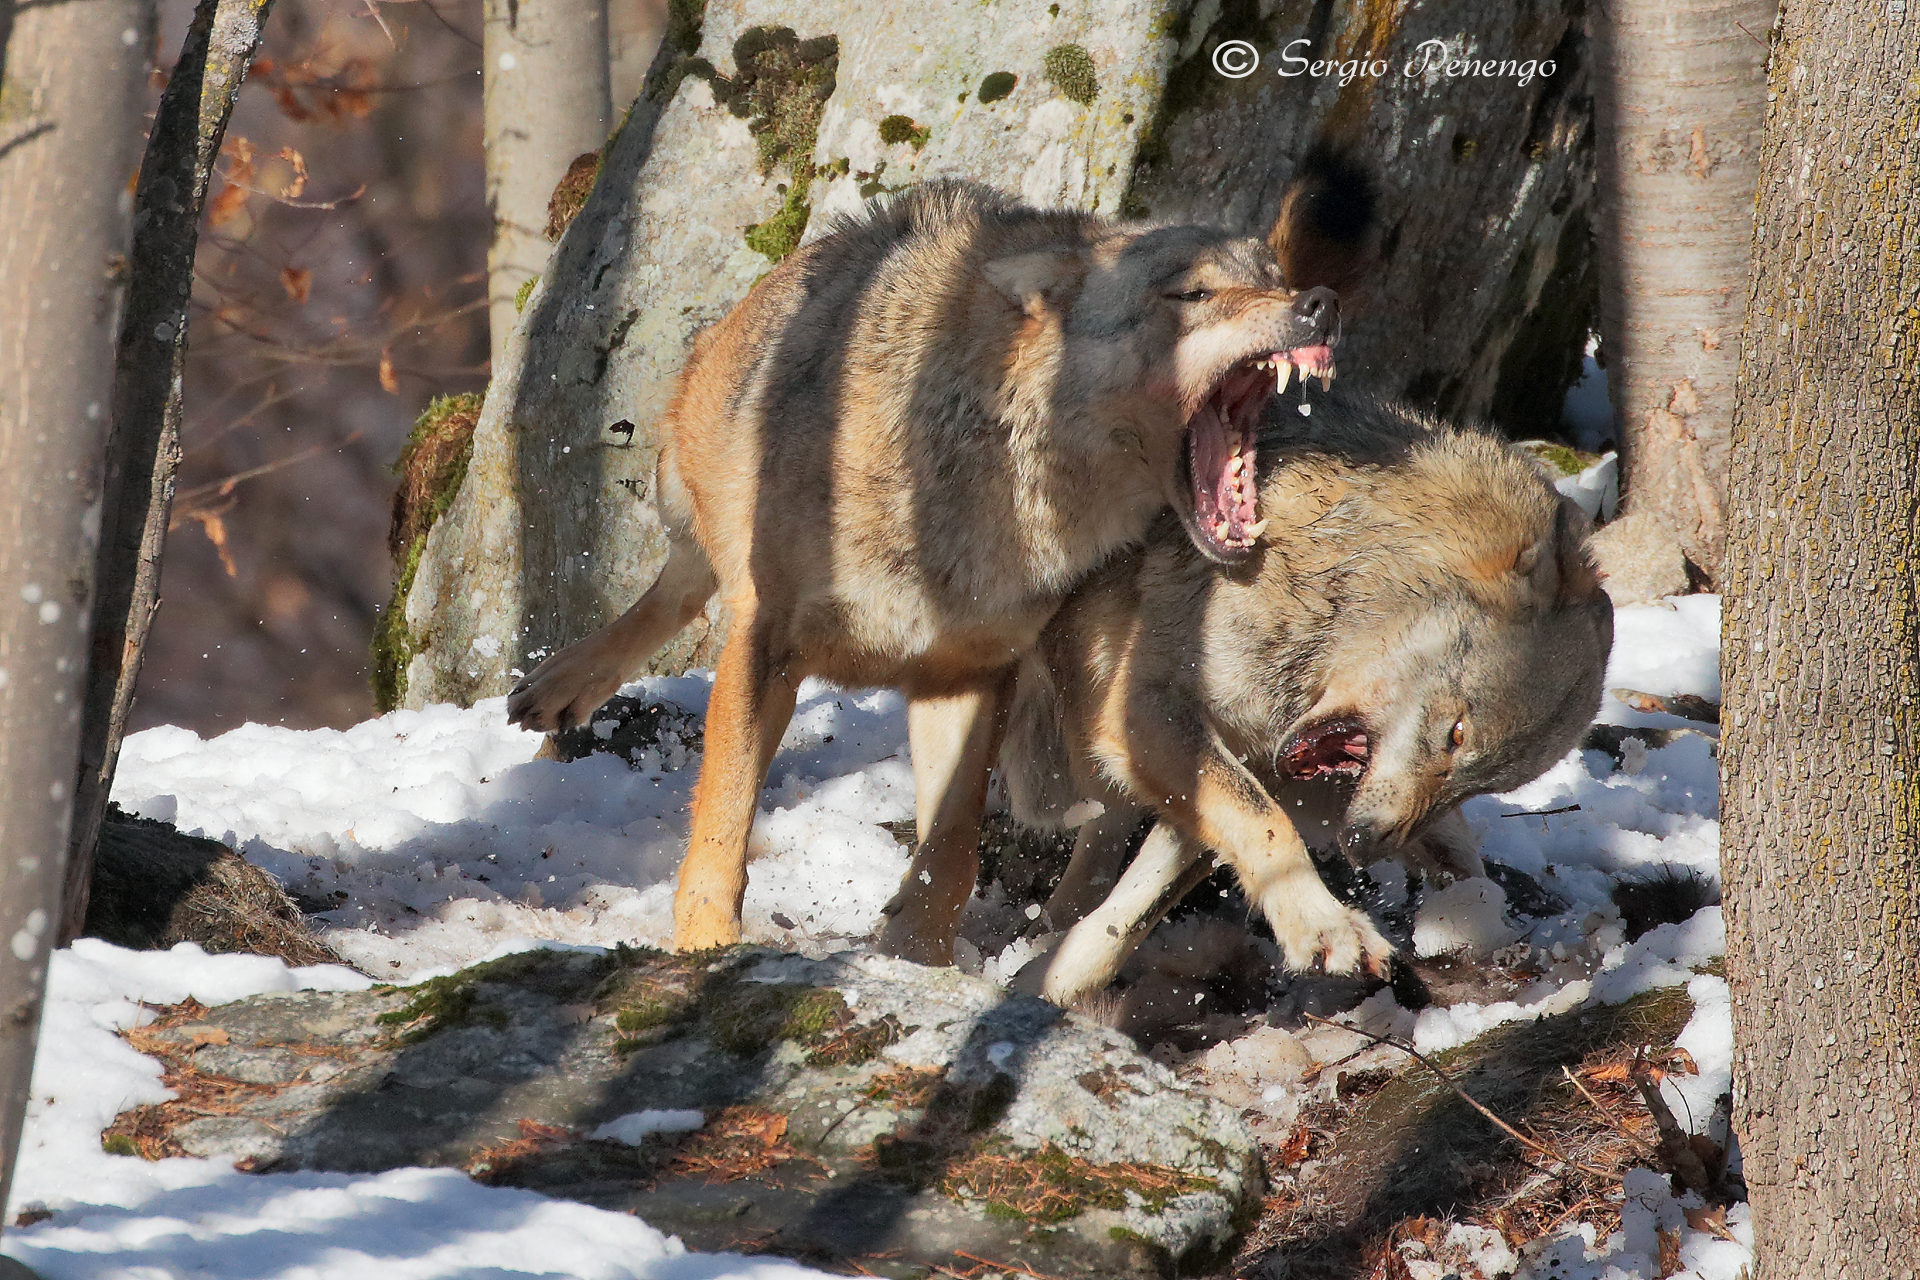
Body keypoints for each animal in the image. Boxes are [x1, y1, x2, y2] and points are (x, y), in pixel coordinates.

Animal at [506, 164, 1372, 961]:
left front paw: (917, 955)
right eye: (1191, 294)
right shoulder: (764, 640)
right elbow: (722, 815)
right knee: (677, 584)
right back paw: (556, 686)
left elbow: (950, 854)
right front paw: (707, 942)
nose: (1320, 302)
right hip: (685, 496)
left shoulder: (967, 674)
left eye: (1273, 282)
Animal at [996, 394, 1614, 1006]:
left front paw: (1043, 984)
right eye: (1455, 734)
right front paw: (1328, 928)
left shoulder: (1236, 766)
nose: (1363, 846)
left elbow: (1130, 914)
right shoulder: (1144, 714)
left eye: (1480, 786)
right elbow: (1269, 828)